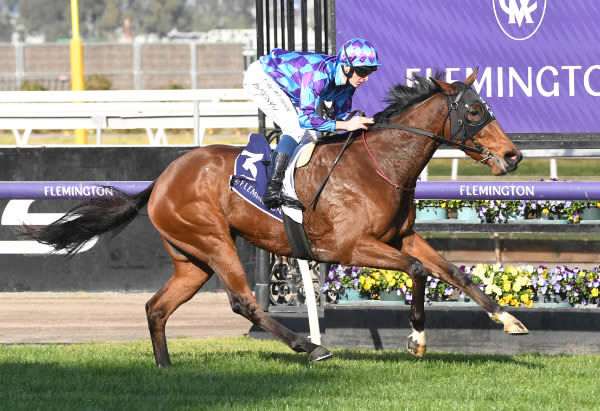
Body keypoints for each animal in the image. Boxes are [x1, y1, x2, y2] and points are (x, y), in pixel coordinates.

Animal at [22, 69, 524, 368]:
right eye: (474, 110)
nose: (513, 156)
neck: (379, 164)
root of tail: (161, 179)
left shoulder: (404, 237)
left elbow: (452, 271)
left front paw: (508, 319)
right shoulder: (350, 247)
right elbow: (420, 272)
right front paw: (417, 340)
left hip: (191, 259)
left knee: (156, 307)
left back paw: (165, 368)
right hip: (214, 242)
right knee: (244, 302)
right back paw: (311, 346)